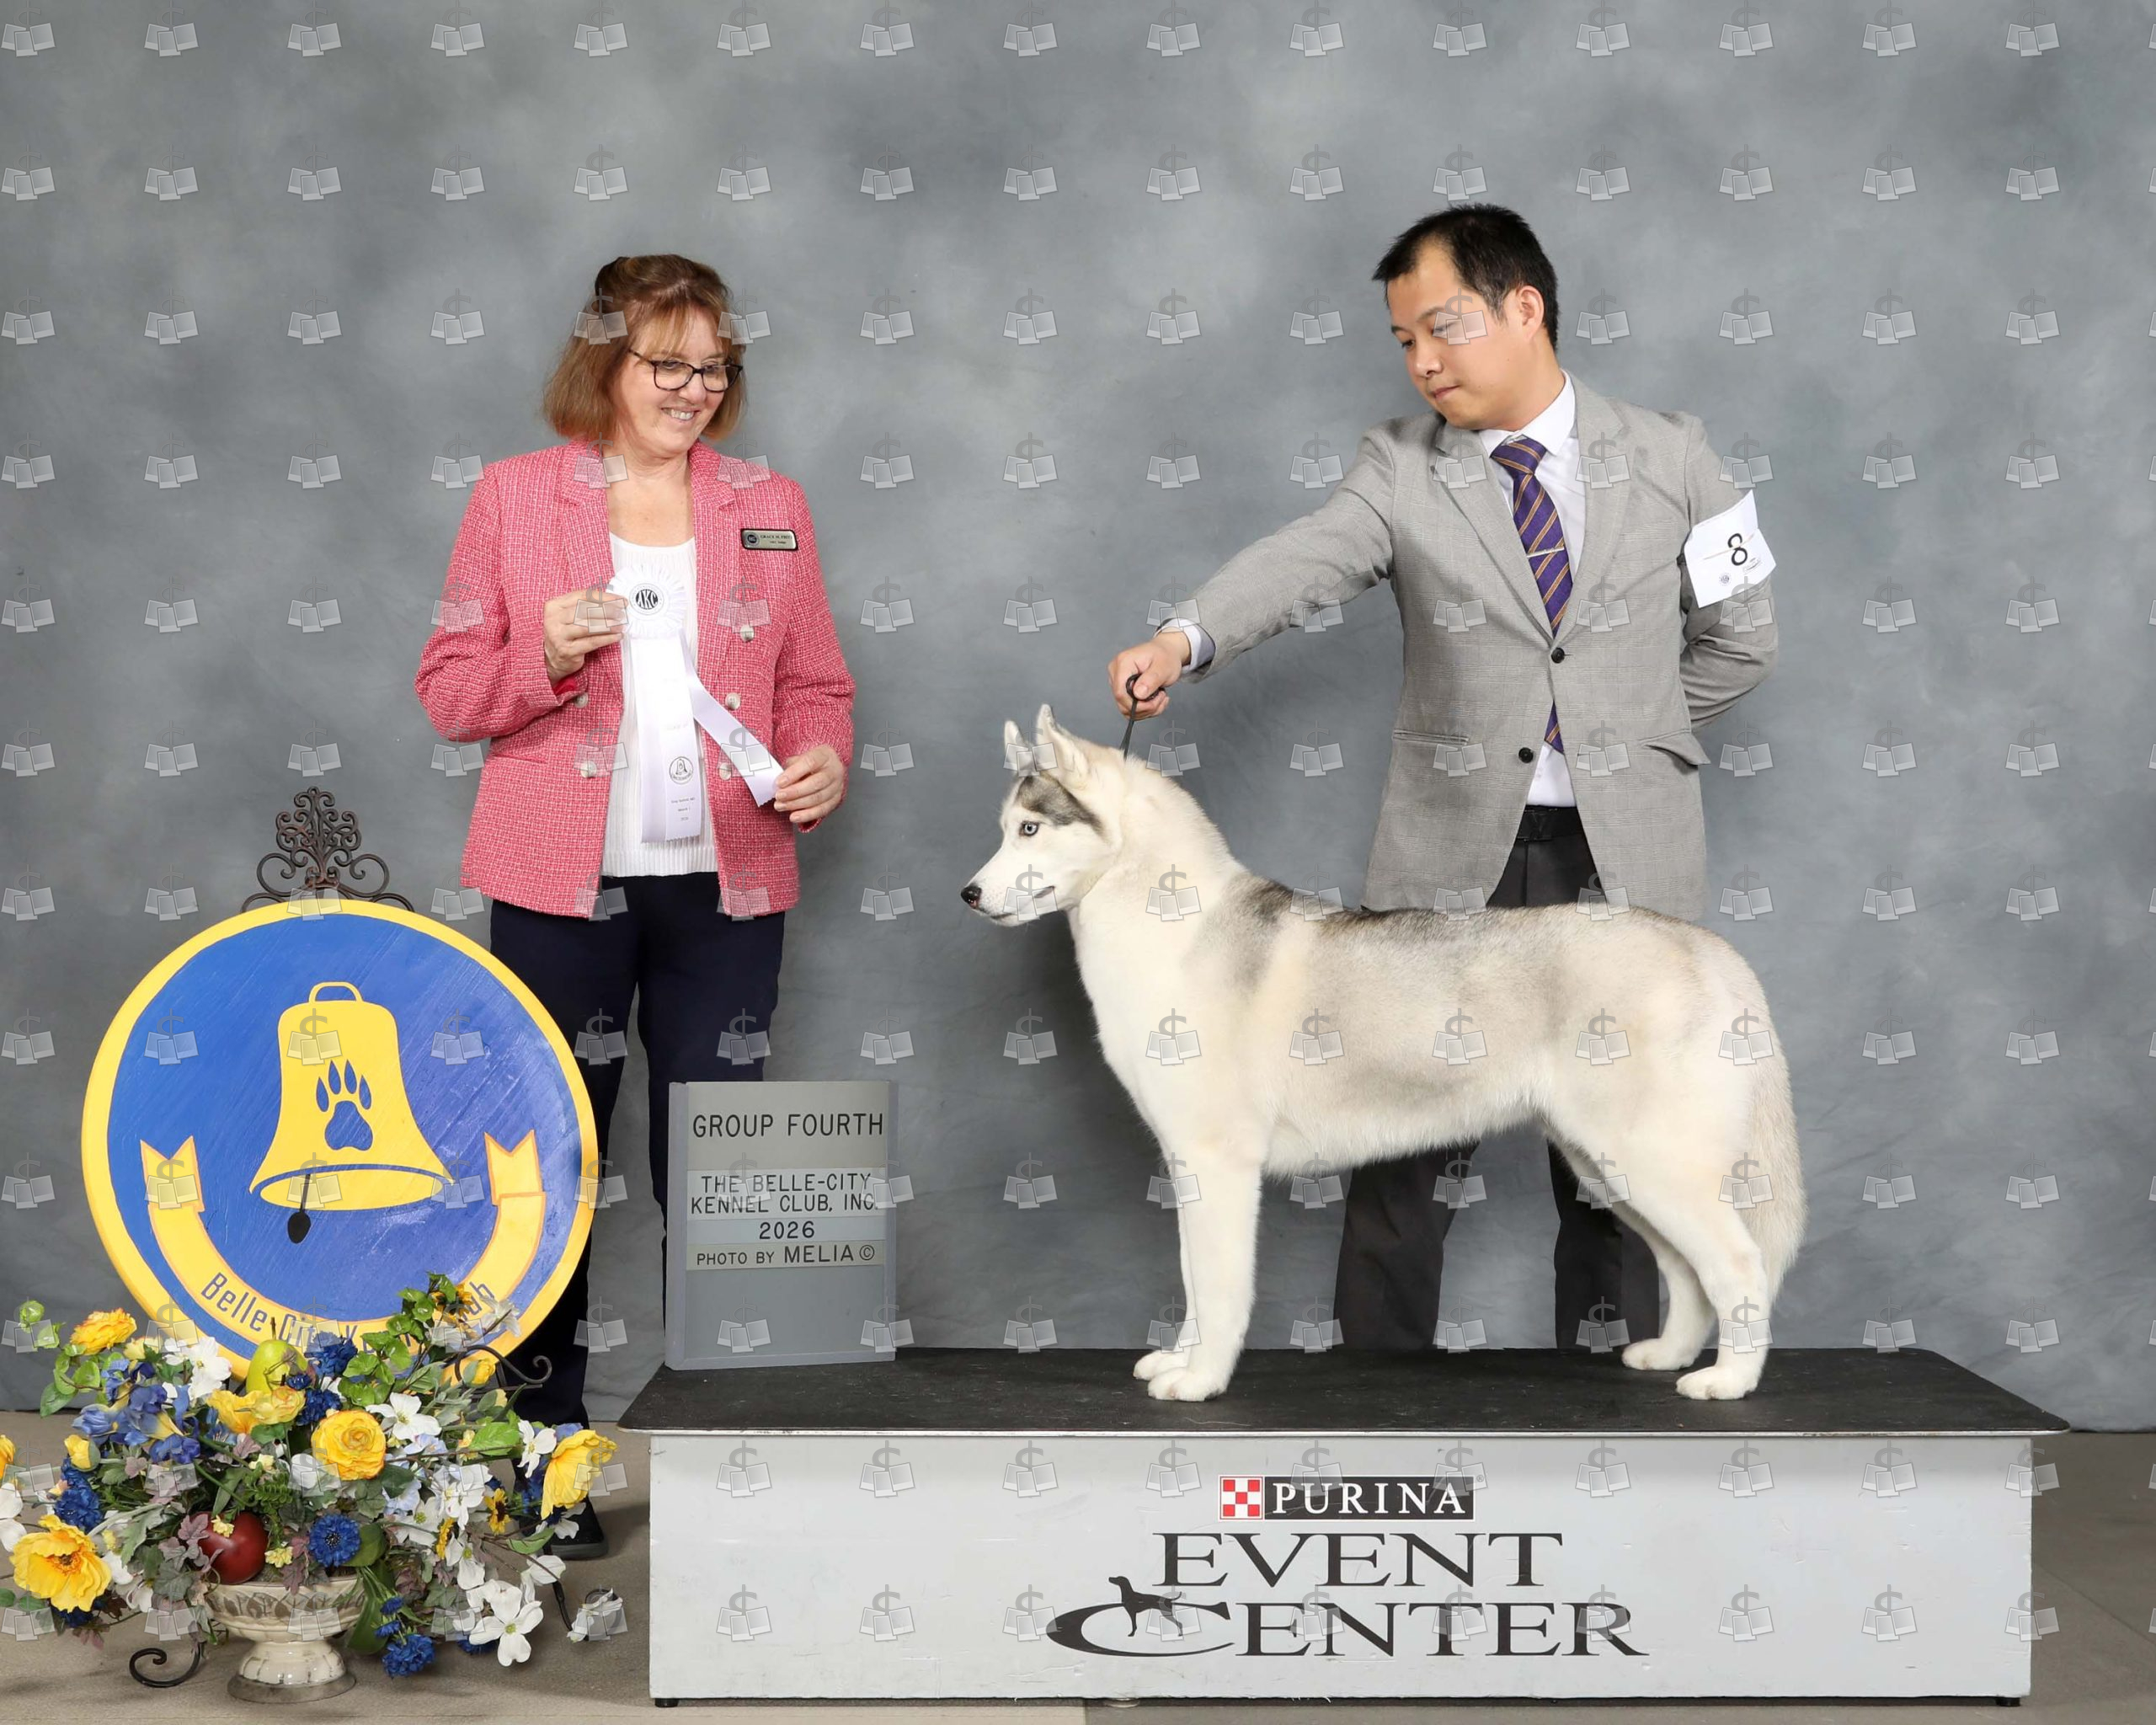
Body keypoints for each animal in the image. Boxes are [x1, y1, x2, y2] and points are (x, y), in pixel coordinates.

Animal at [962, 706, 1806, 1404]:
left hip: (1651, 1157)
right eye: (1002, 829)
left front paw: (1200, 1381)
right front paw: (1179, 1359)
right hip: (1608, 1167)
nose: (968, 895)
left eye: (1030, 831)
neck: (1171, 926)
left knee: (1738, 1263)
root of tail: (1707, 946)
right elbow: (1193, 1286)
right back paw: (1669, 1355)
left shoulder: (1219, 1162)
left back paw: (1730, 1380)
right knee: (1688, 1271)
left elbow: (1219, 1287)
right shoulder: (1186, 1168)